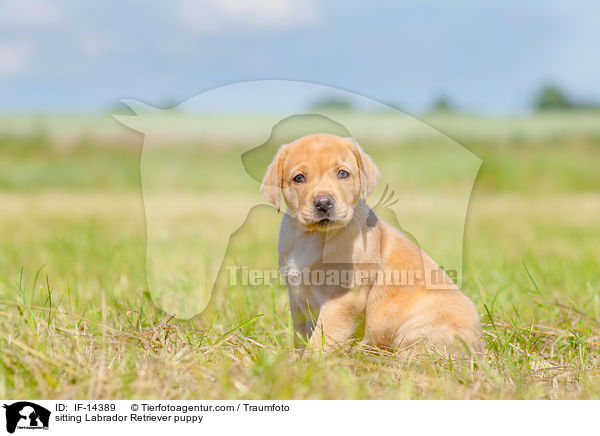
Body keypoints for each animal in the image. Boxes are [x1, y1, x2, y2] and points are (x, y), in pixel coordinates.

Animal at [262, 133, 482, 354]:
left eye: (343, 174)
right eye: (299, 178)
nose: (323, 203)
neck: (312, 236)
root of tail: (479, 345)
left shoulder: (343, 299)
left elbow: (322, 339)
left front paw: (310, 360)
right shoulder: (297, 298)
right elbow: (301, 334)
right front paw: (294, 356)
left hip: (417, 330)